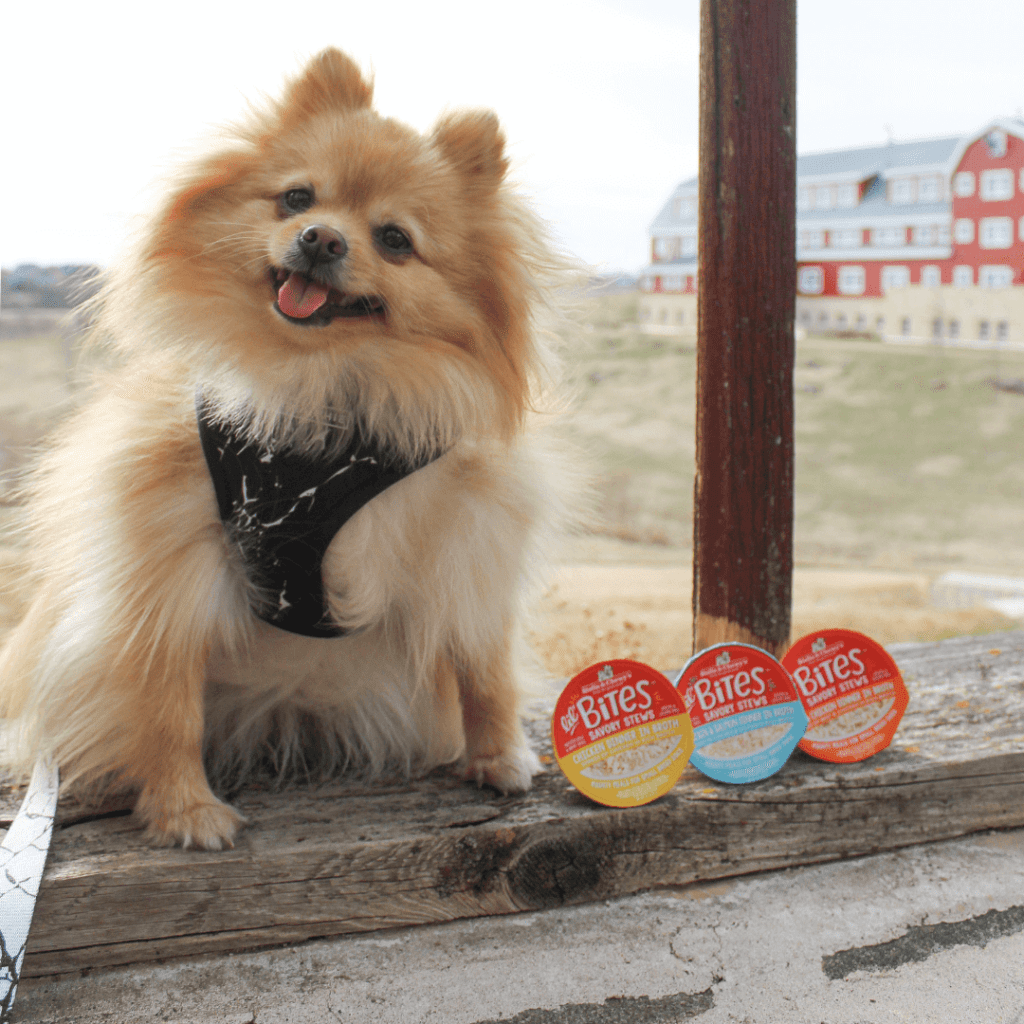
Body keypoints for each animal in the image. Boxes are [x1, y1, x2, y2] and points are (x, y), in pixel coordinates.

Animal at [0, 48, 569, 847]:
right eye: (296, 199)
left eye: (395, 239)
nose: (321, 238)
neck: (318, 391)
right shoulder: (168, 562)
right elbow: (168, 699)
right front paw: (185, 809)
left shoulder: (467, 543)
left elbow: (482, 664)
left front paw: (498, 756)